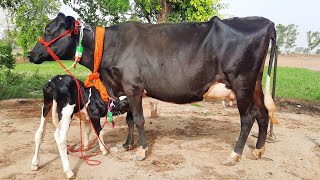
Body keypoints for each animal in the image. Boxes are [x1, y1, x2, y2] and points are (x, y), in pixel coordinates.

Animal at [29, 12, 280, 173]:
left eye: (49, 29)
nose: (31, 54)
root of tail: (267, 22)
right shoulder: (127, 88)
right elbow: (130, 119)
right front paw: (127, 145)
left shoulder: (132, 86)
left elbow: (139, 119)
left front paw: (141, 151)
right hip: (255, 84)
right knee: (263, 113)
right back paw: (258, 150)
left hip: (241, 83)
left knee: (248, 117)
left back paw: (234, 155)